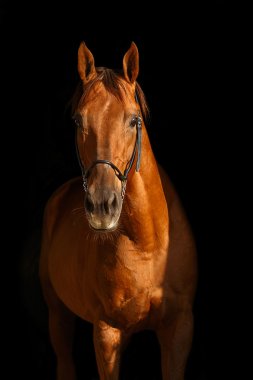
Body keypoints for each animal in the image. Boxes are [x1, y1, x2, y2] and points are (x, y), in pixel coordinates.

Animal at [39, 41, 198, 380]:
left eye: (134, 120)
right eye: (78, 120)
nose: (102, 206)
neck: (148, 245)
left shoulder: (180, 330)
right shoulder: (107, 333)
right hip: (58, 314)